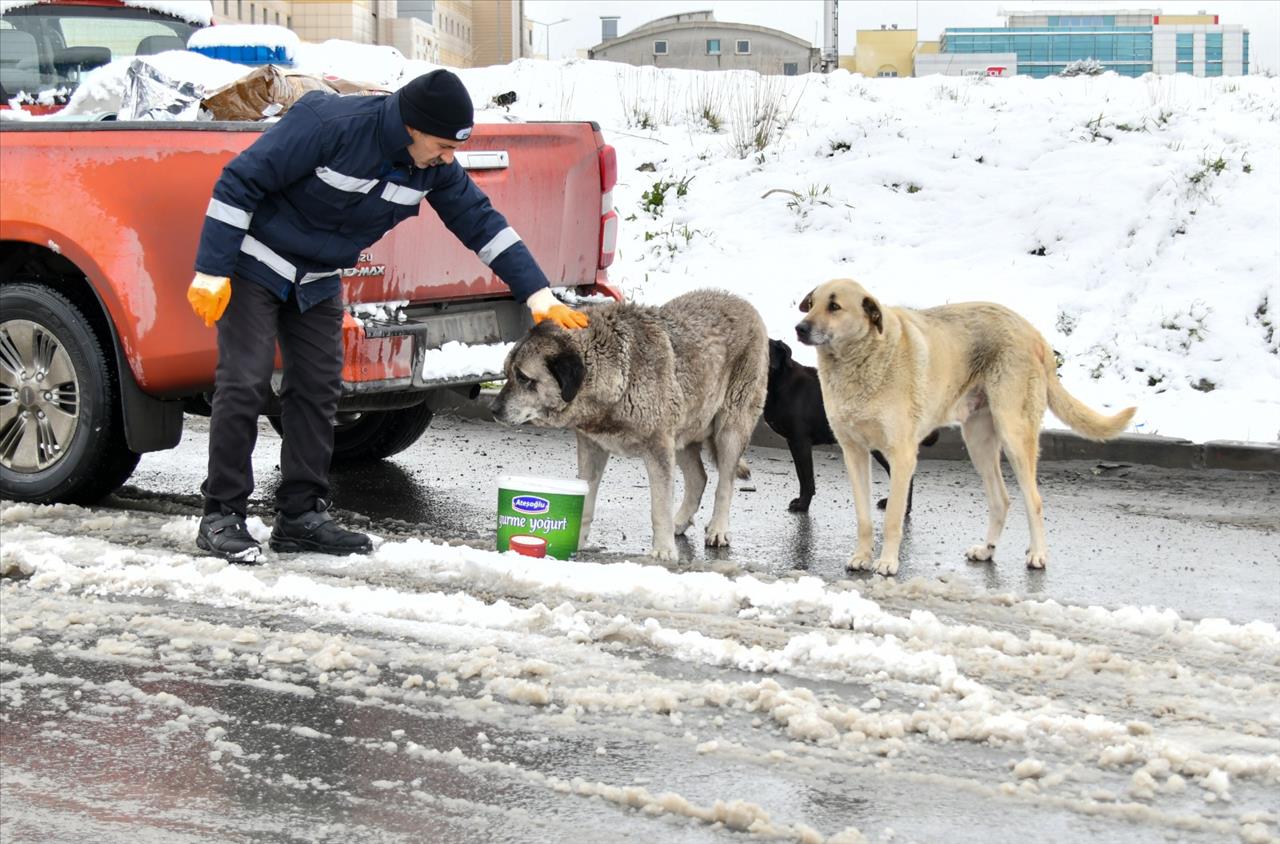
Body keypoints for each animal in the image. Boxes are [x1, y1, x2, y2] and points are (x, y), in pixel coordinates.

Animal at [793, 280, 1136, 578]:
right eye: (812, 304)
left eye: (834, 306)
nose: (800, 328)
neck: (861, 358)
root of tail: (1033, 332)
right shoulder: (854, 452)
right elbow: (864, 518)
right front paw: (862, 557)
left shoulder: (902, 455)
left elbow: (891, 517)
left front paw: (887, 562)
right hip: (978, 442)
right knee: (1001, 500)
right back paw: (987, 550)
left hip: (1014, 436)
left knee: (1034, 500)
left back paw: (1038, 554)